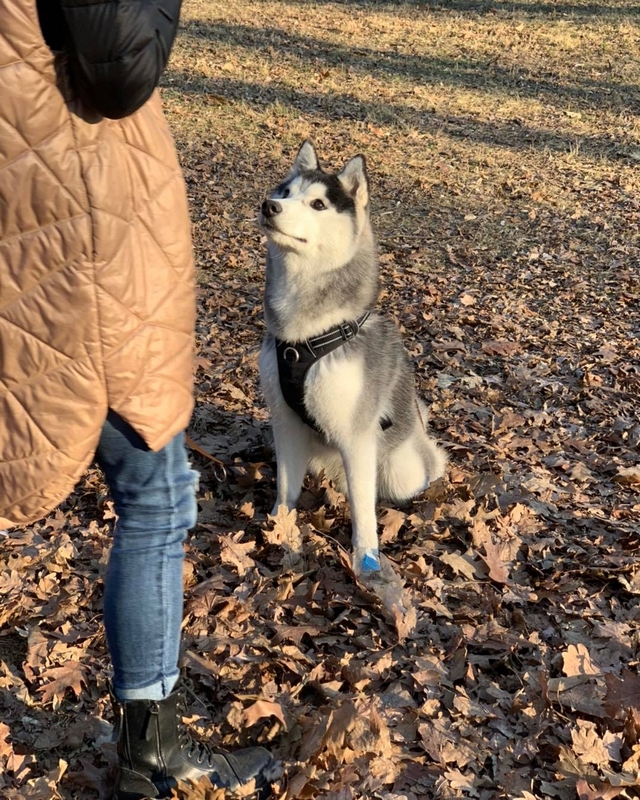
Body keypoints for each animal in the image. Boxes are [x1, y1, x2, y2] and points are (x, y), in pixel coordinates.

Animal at [258, 141, 448, 572]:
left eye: (318, 204)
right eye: (285, 192)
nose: (269, 205)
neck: (304, 338)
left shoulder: (358, 438)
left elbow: (364, 511)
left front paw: (367, 559)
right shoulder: (285, 424)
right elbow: (284, 488)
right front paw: (281, 529)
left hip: (400, 466)